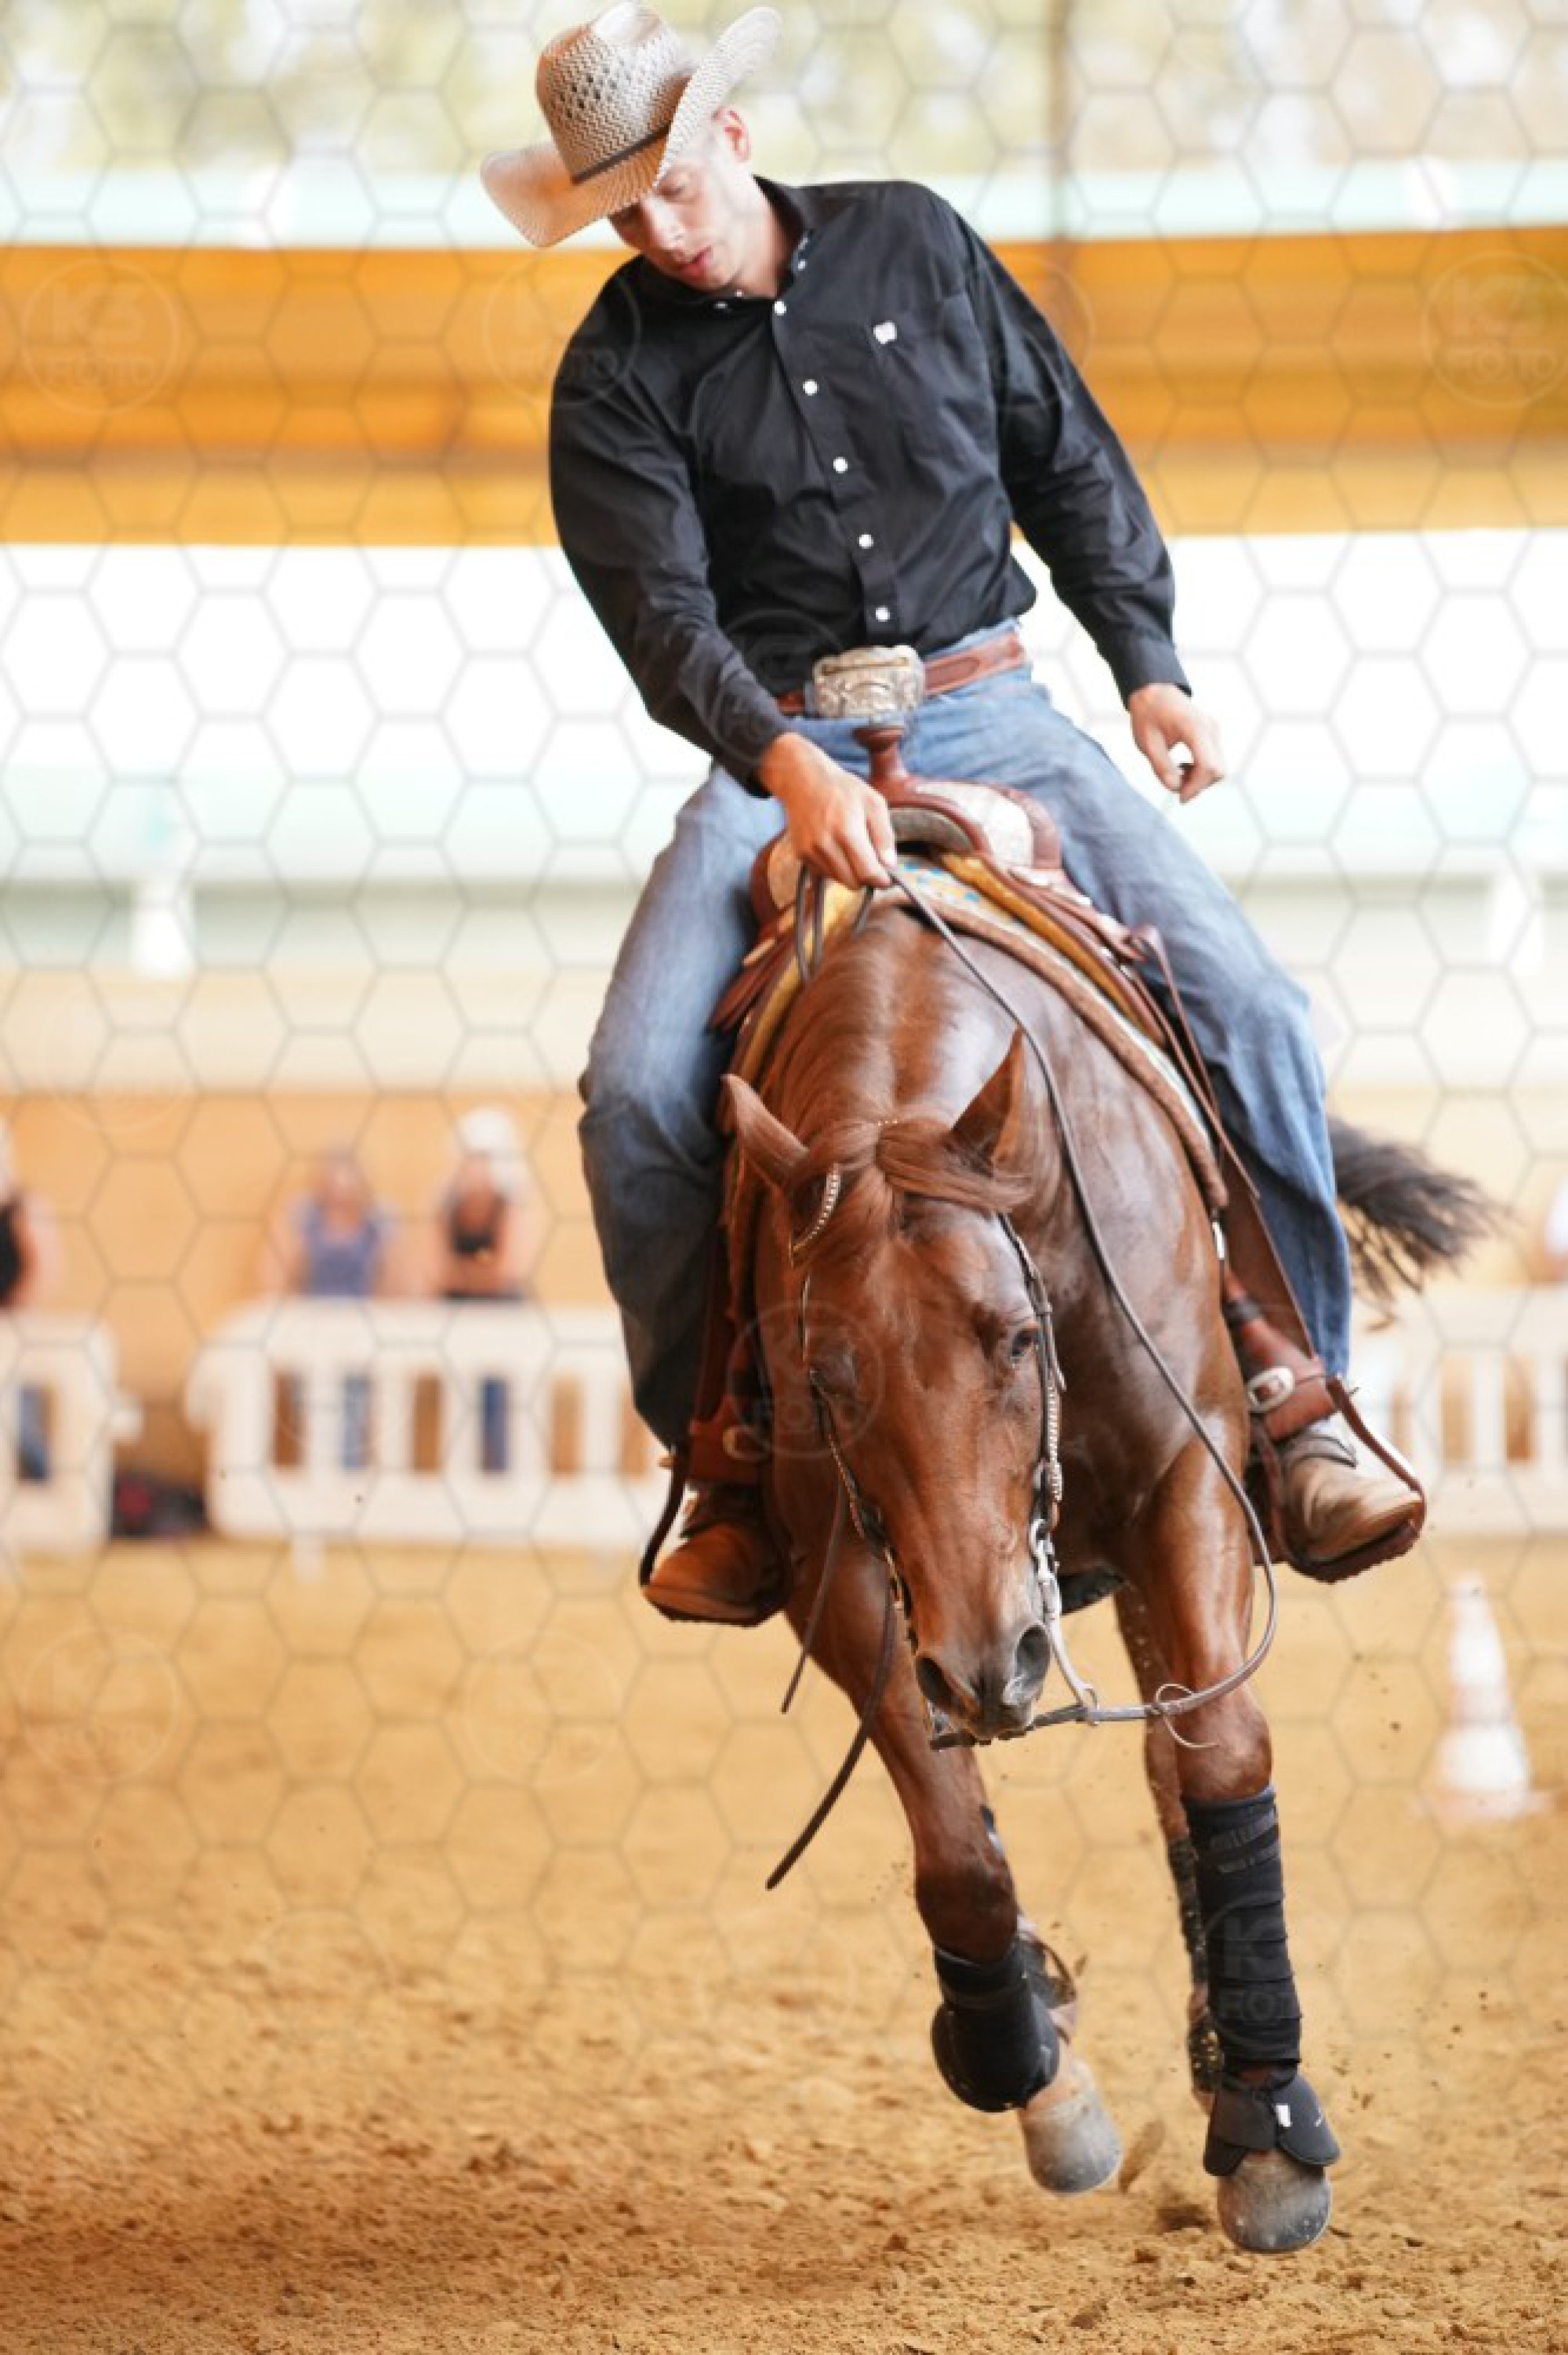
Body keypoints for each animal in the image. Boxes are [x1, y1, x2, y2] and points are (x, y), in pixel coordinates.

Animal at [719, 797, 1487, 2254]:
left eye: (1014, 1334)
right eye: (830, 1379)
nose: (993, 1661)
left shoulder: (1193, 1479)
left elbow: (1226, 1752)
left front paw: (1271, 2123)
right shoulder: (839, 1559)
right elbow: (959, 1849)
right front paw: (1027, 2052)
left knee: (1178, 1751)